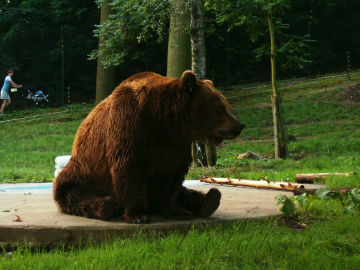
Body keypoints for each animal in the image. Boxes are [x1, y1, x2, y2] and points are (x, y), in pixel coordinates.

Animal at [52, 70, 245, 224]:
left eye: (226, 105)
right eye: (220, 108)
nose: (239, 125)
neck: (163, 122)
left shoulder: (173, 144)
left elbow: (172, 176)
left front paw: (177, 211)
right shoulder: (130, 124)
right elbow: (129, 169)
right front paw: (138, 215)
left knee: (184, 191)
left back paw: (210, 200)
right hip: (82, 174)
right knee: (77, 195)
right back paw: (106, 206)